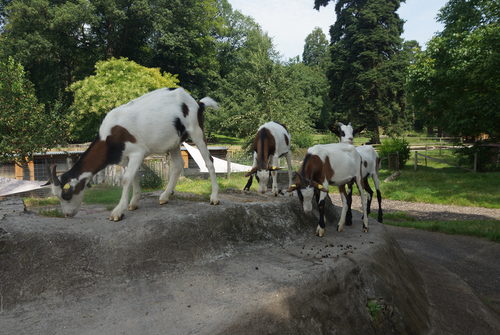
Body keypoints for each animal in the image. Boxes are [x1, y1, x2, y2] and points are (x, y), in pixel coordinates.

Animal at [46, 88, 219, 222]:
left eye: (66, 194)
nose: (67, 214)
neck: (110, 137)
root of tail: (196, 102)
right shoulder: (125, 158)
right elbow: (134, 176)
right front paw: (134, 203)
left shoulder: (137, 152)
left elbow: (126, 179)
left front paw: (117, 212)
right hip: (174, 142)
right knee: (177, 165)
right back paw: (164, 197)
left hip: (196, 130)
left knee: (209, 161)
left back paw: (214, 198)